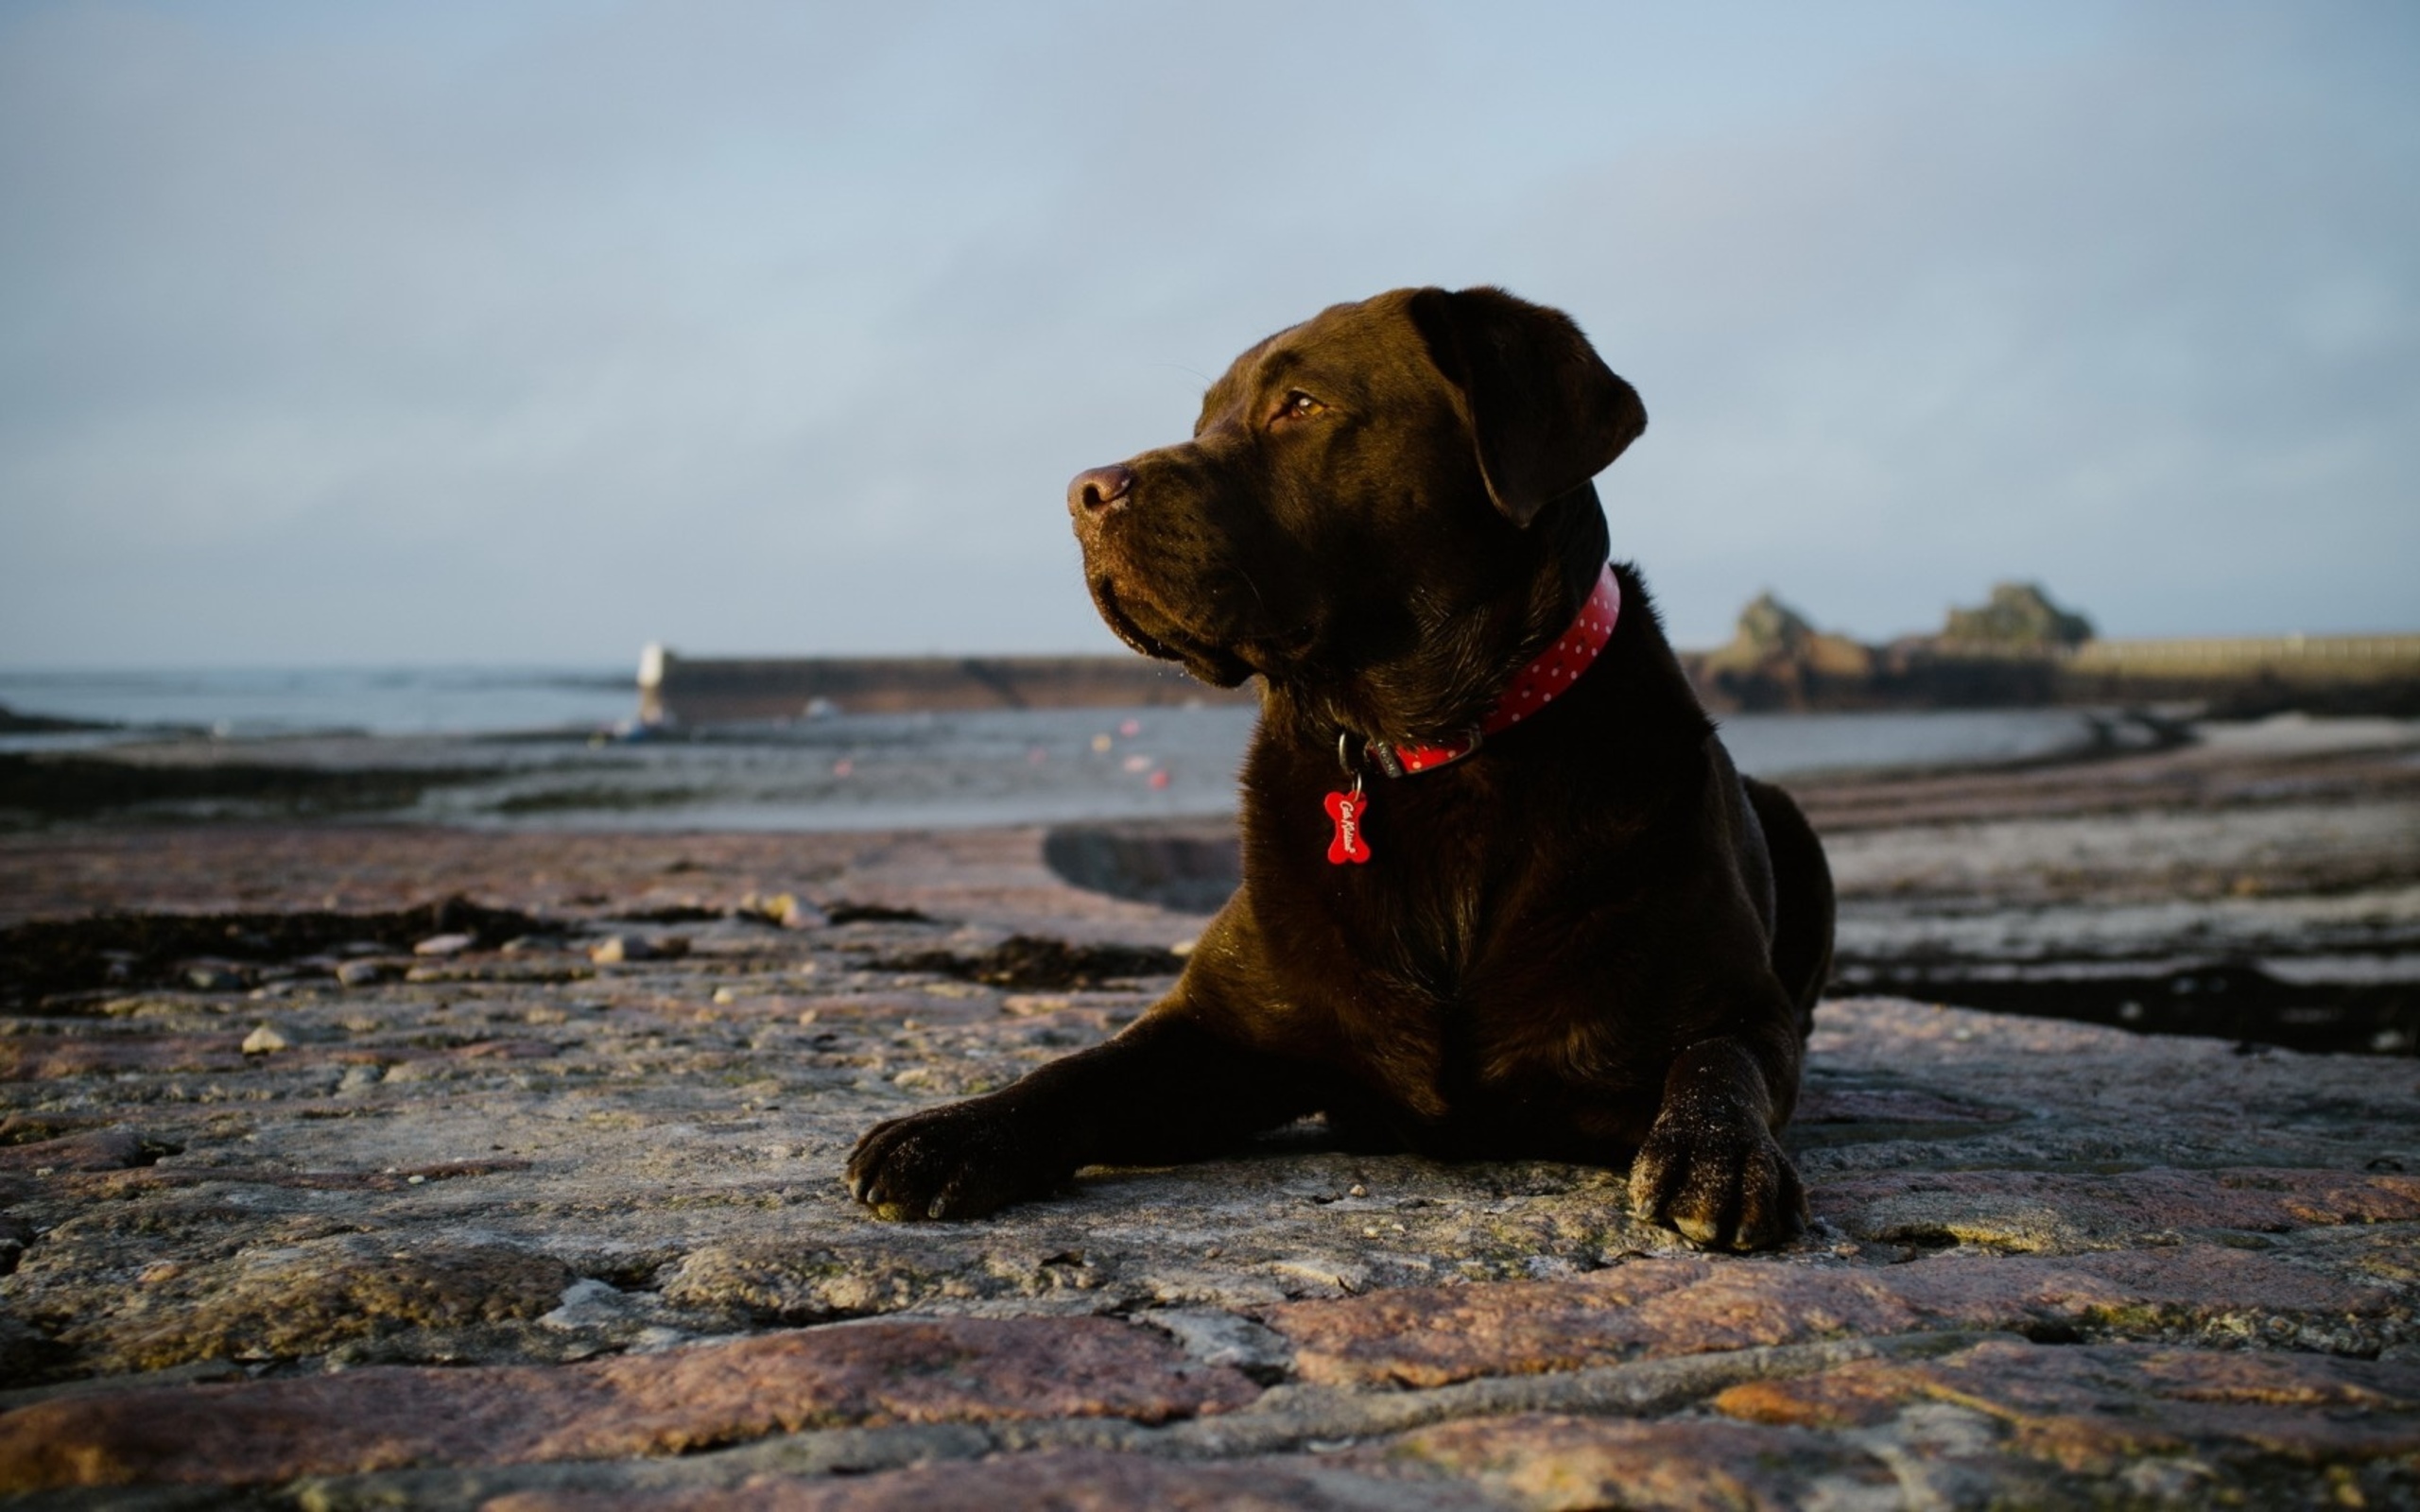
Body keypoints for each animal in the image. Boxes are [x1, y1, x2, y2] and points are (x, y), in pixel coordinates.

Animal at [852, 285, 1829, 1247]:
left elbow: (1717, 1062)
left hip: (1793, 824)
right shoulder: (1215, 1029)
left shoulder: (1739, 1009)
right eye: (1204, 418)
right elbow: (1078, 1070)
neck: (1429, 748)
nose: (1083, 492)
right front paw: (954, 1132)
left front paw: (1715, 1154)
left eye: (1301, 405)